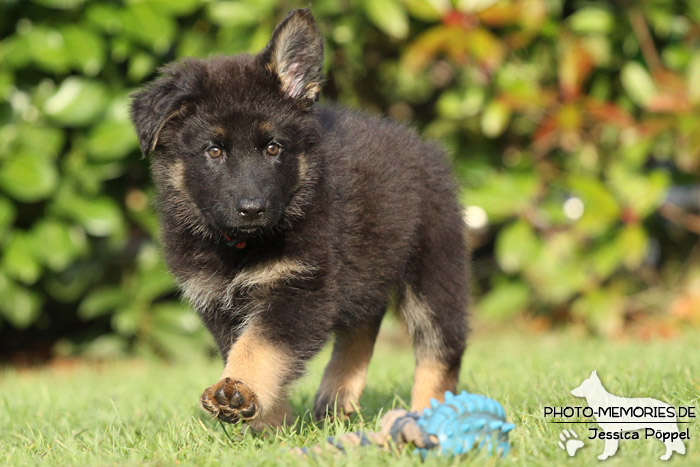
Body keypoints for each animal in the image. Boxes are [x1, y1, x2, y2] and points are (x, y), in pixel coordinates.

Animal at [131, 8, 470, 432]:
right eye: (213, 151)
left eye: (274, 148)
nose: (252, 208)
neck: (240, 245)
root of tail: (424, 147)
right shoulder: (217, 300)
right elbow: (244, 346)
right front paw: (266, 423)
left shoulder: (300, 286)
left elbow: (260, 345)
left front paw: (239, 390)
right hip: (369, 263)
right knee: (364, 322)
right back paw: (338, 396)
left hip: (434, 268)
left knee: (440, 348)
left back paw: (429, 416)